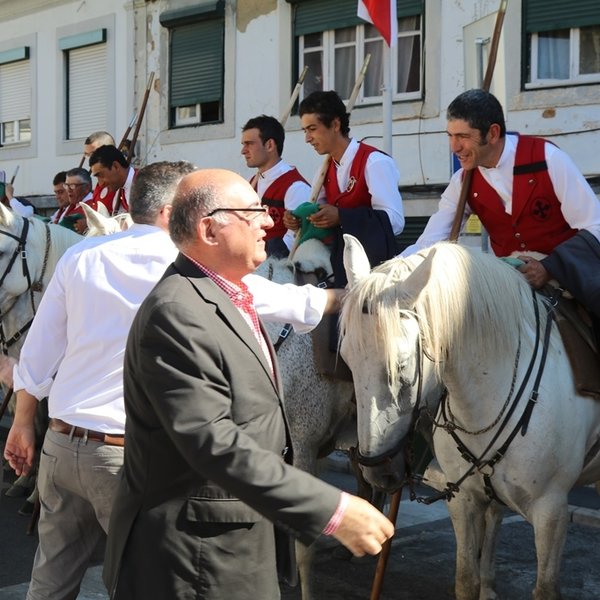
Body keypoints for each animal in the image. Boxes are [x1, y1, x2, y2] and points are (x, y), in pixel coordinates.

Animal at [340, 234, 600, 600]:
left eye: (401, 366)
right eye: (347, 360)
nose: (378, 472)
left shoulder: (551, 511)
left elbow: (545, 588)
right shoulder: (461, 499)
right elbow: (466, 578)